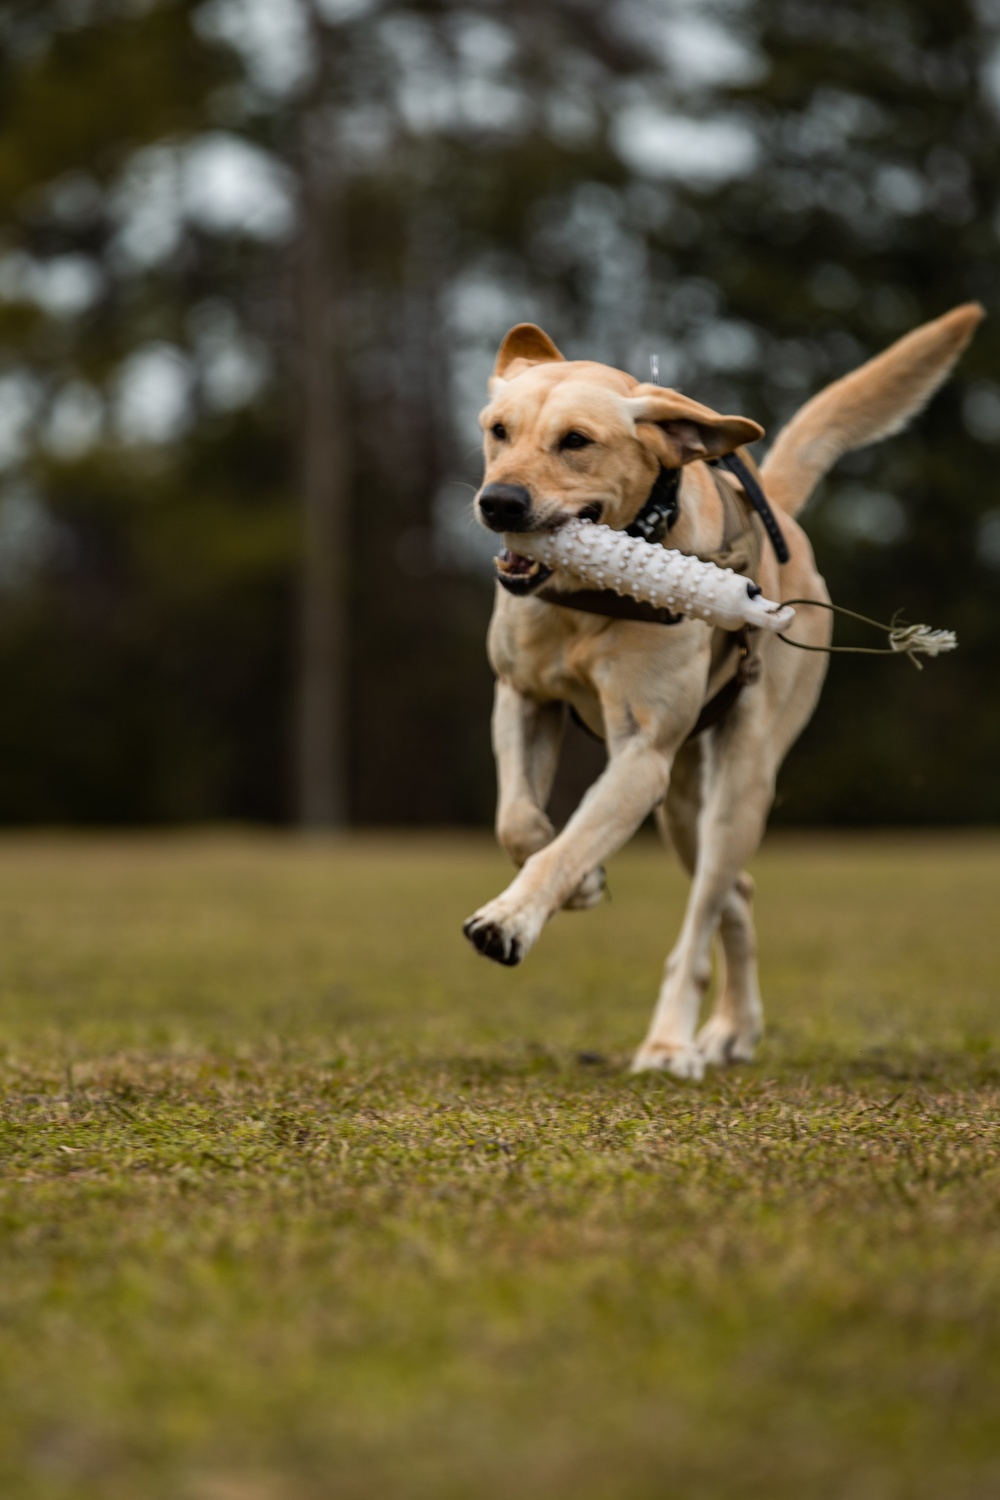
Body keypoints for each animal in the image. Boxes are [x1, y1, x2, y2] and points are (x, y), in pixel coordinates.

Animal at [464, 304, 983, 1080]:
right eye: (498, 430)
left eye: (576, 442)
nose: (498, 502)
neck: (589, 598)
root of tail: (783, 521)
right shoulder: (523, 699)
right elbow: (522, 824)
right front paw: (581, 884)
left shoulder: (642, 755)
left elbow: (566, 844)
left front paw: (510, 919)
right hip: (682, 806)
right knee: (735, 892)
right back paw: (734, 1028)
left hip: (738, 786)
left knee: (702, 921)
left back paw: (671, 1043)